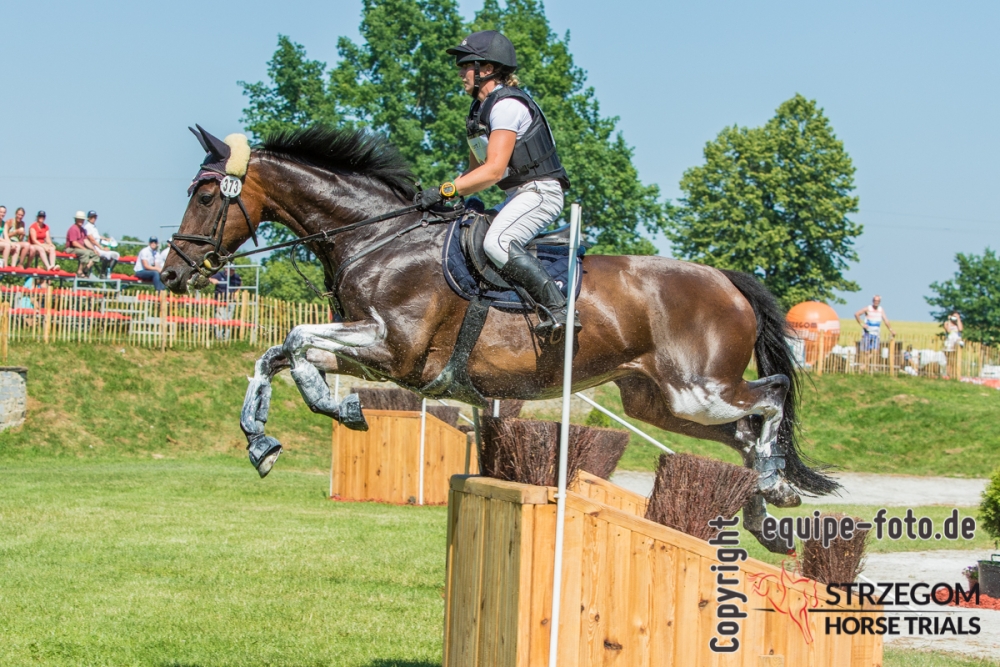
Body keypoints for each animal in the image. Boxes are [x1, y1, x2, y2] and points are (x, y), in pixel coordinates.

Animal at [162, 125, 838, 553]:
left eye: (206, 194)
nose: (172, 273)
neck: (378, 238)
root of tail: (725, 278)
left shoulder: (395, 350)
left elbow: (298, 341)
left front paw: (339, 406)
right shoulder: (374, 350)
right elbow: (277, 353)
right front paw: (263, 441)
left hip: (698, 389)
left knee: (771, 396)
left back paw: (774, 486)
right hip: (659, 402)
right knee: (744, 433)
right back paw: (765, 509)